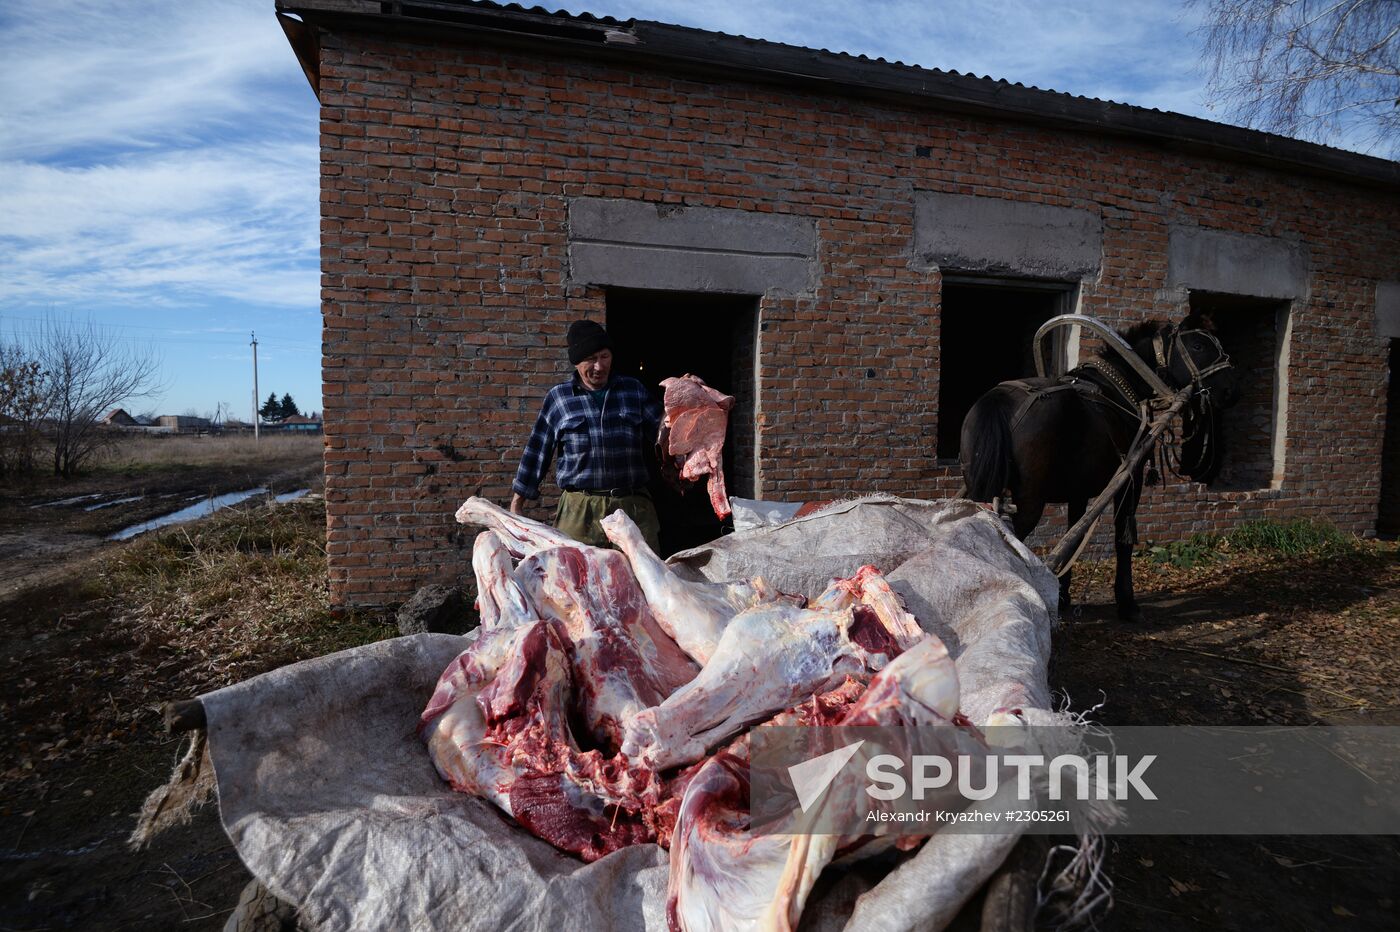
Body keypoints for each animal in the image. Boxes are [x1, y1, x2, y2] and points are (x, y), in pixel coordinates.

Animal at [963, 316, 1237, 621]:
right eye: (1199, 345)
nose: (1230, 390)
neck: (1118, 389)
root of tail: (999, 400)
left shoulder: (1078, 491)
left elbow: (1075, 533)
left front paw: (1063, 595)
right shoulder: (1130, 479)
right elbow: (1123, 537)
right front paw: (1127, 603)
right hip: (1030, 502)